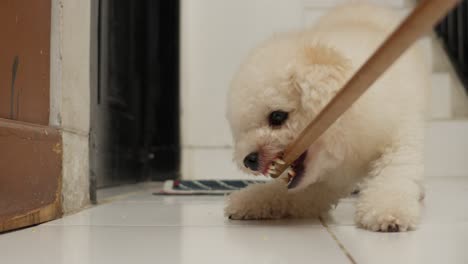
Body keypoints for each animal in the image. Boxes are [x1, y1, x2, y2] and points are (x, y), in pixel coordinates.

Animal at [225, 3, 430, 232]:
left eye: (277, 117)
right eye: (241, 132)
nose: (248, 160)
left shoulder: (399, 139)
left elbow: (393, 176)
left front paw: (387, 213)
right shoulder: (323, 181)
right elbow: (287, 194)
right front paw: (248, 200)